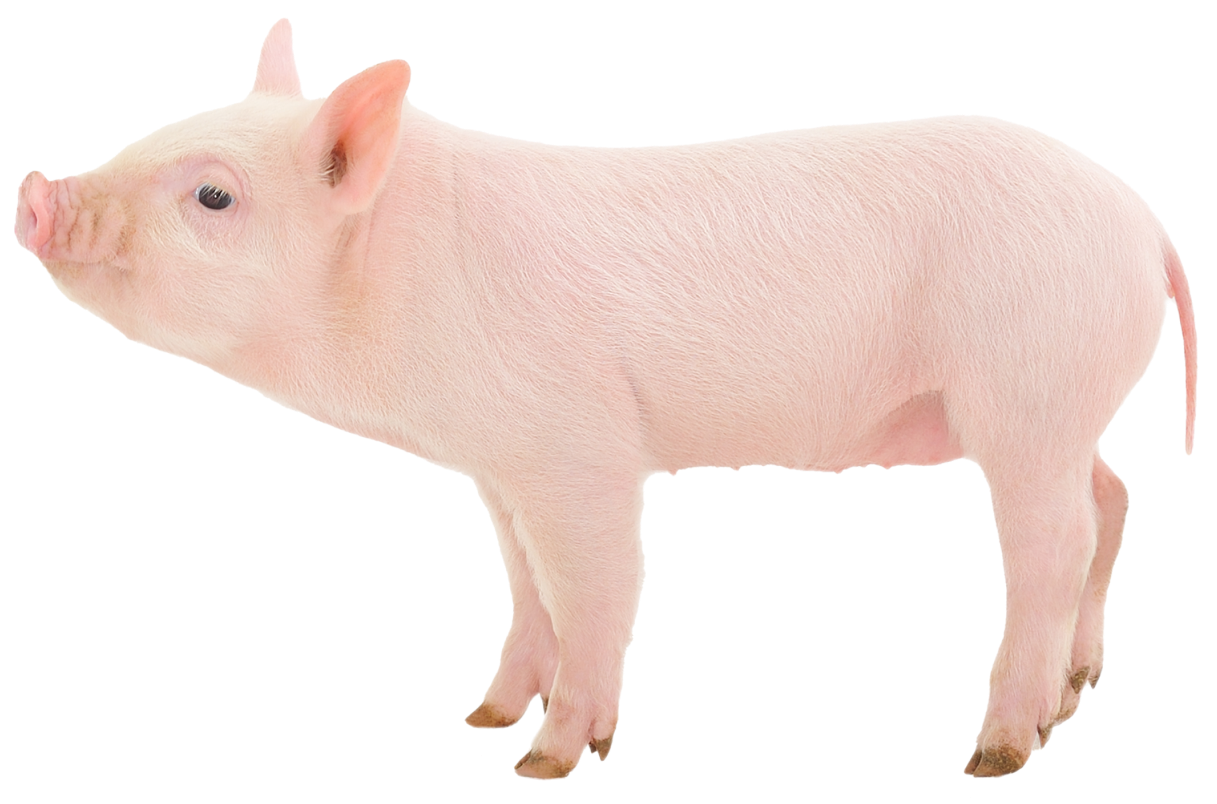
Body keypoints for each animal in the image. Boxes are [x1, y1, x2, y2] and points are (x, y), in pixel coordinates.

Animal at [14, 17, 1197, 781]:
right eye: (154, 133)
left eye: (214, 194)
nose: (34, 193)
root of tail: (1142, 223)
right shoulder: (496, 464)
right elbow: (527, 586)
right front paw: (482, 715)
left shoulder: (575, 445)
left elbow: (600, 582)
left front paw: (546, 762)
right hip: (1065, 407)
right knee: (1114, 494)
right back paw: (1074, 692)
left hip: (1026, 388)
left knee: (1048, 545)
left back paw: (998, 752)